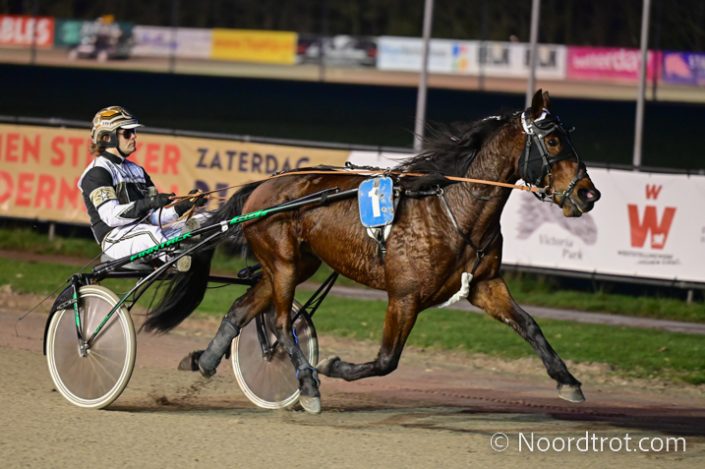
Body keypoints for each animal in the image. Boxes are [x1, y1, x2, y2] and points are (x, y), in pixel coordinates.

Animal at [144, 90, 601, 414]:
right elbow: (386, 361)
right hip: (284, 262)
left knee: (243, 309)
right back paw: (307, 383)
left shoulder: (485, 284)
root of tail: (263, 185)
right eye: (554, 140)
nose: (589, 193)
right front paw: (331, 367)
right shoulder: (405, 296)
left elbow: (530, 326)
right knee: (280, 321)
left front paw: (568, 381)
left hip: (292, 265)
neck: (453, 210)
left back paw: (205, 361)